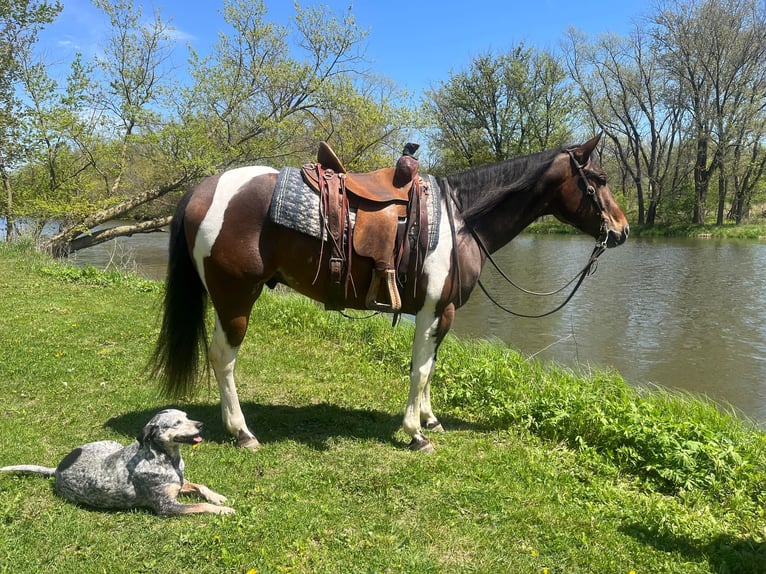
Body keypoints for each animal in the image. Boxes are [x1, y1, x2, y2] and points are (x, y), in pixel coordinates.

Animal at [149, 134, 629, 453]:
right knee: (223, 358)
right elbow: (418, 370)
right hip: (236, 298)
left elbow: (430, 369)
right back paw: (242, 432)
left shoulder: (443, 312)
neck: (459, 220)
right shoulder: (433, 310)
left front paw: (430, 420)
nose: (622, 230)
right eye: (600, 178)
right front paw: (415, 433)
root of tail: (202, 189)